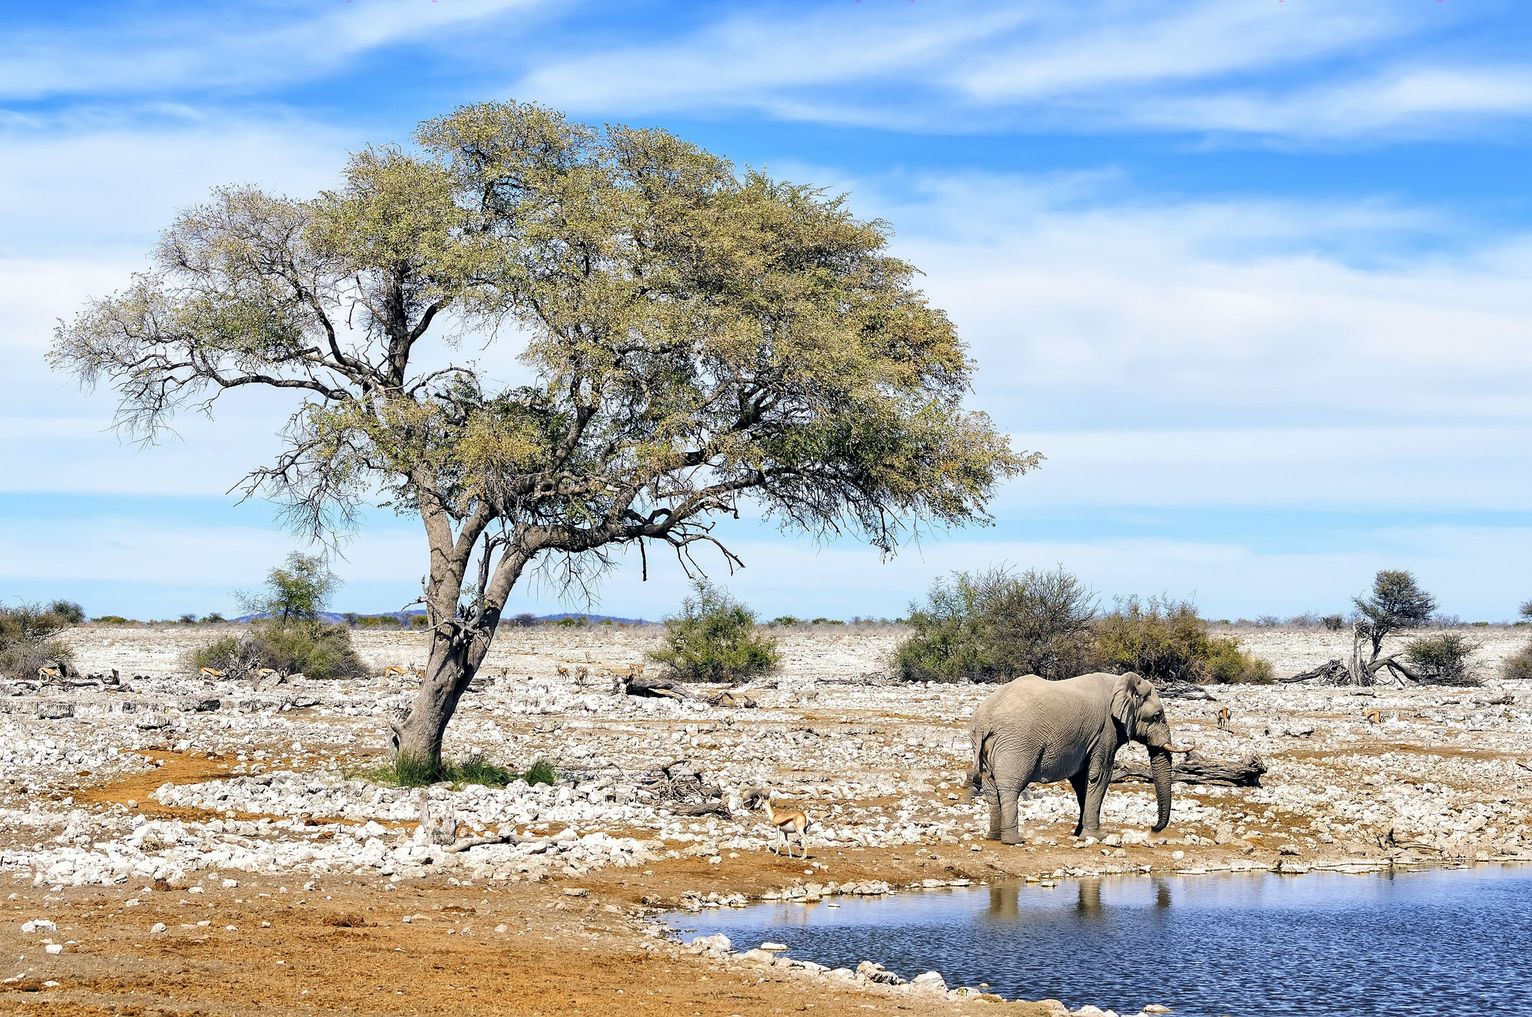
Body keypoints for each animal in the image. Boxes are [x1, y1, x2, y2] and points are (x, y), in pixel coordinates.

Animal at [969, 671, 1188, 844]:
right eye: (1157, 716)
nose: (1152, 829)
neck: (1119, 681)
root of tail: (983, 721)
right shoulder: (1106, 731)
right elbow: (1099, 776)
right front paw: (1096, 837)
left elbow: (1081, 780)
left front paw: (1079, 833)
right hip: (1017, 744)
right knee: (1010, 787)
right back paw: (1013, 841)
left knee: (990, 788)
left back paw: (994, 837)